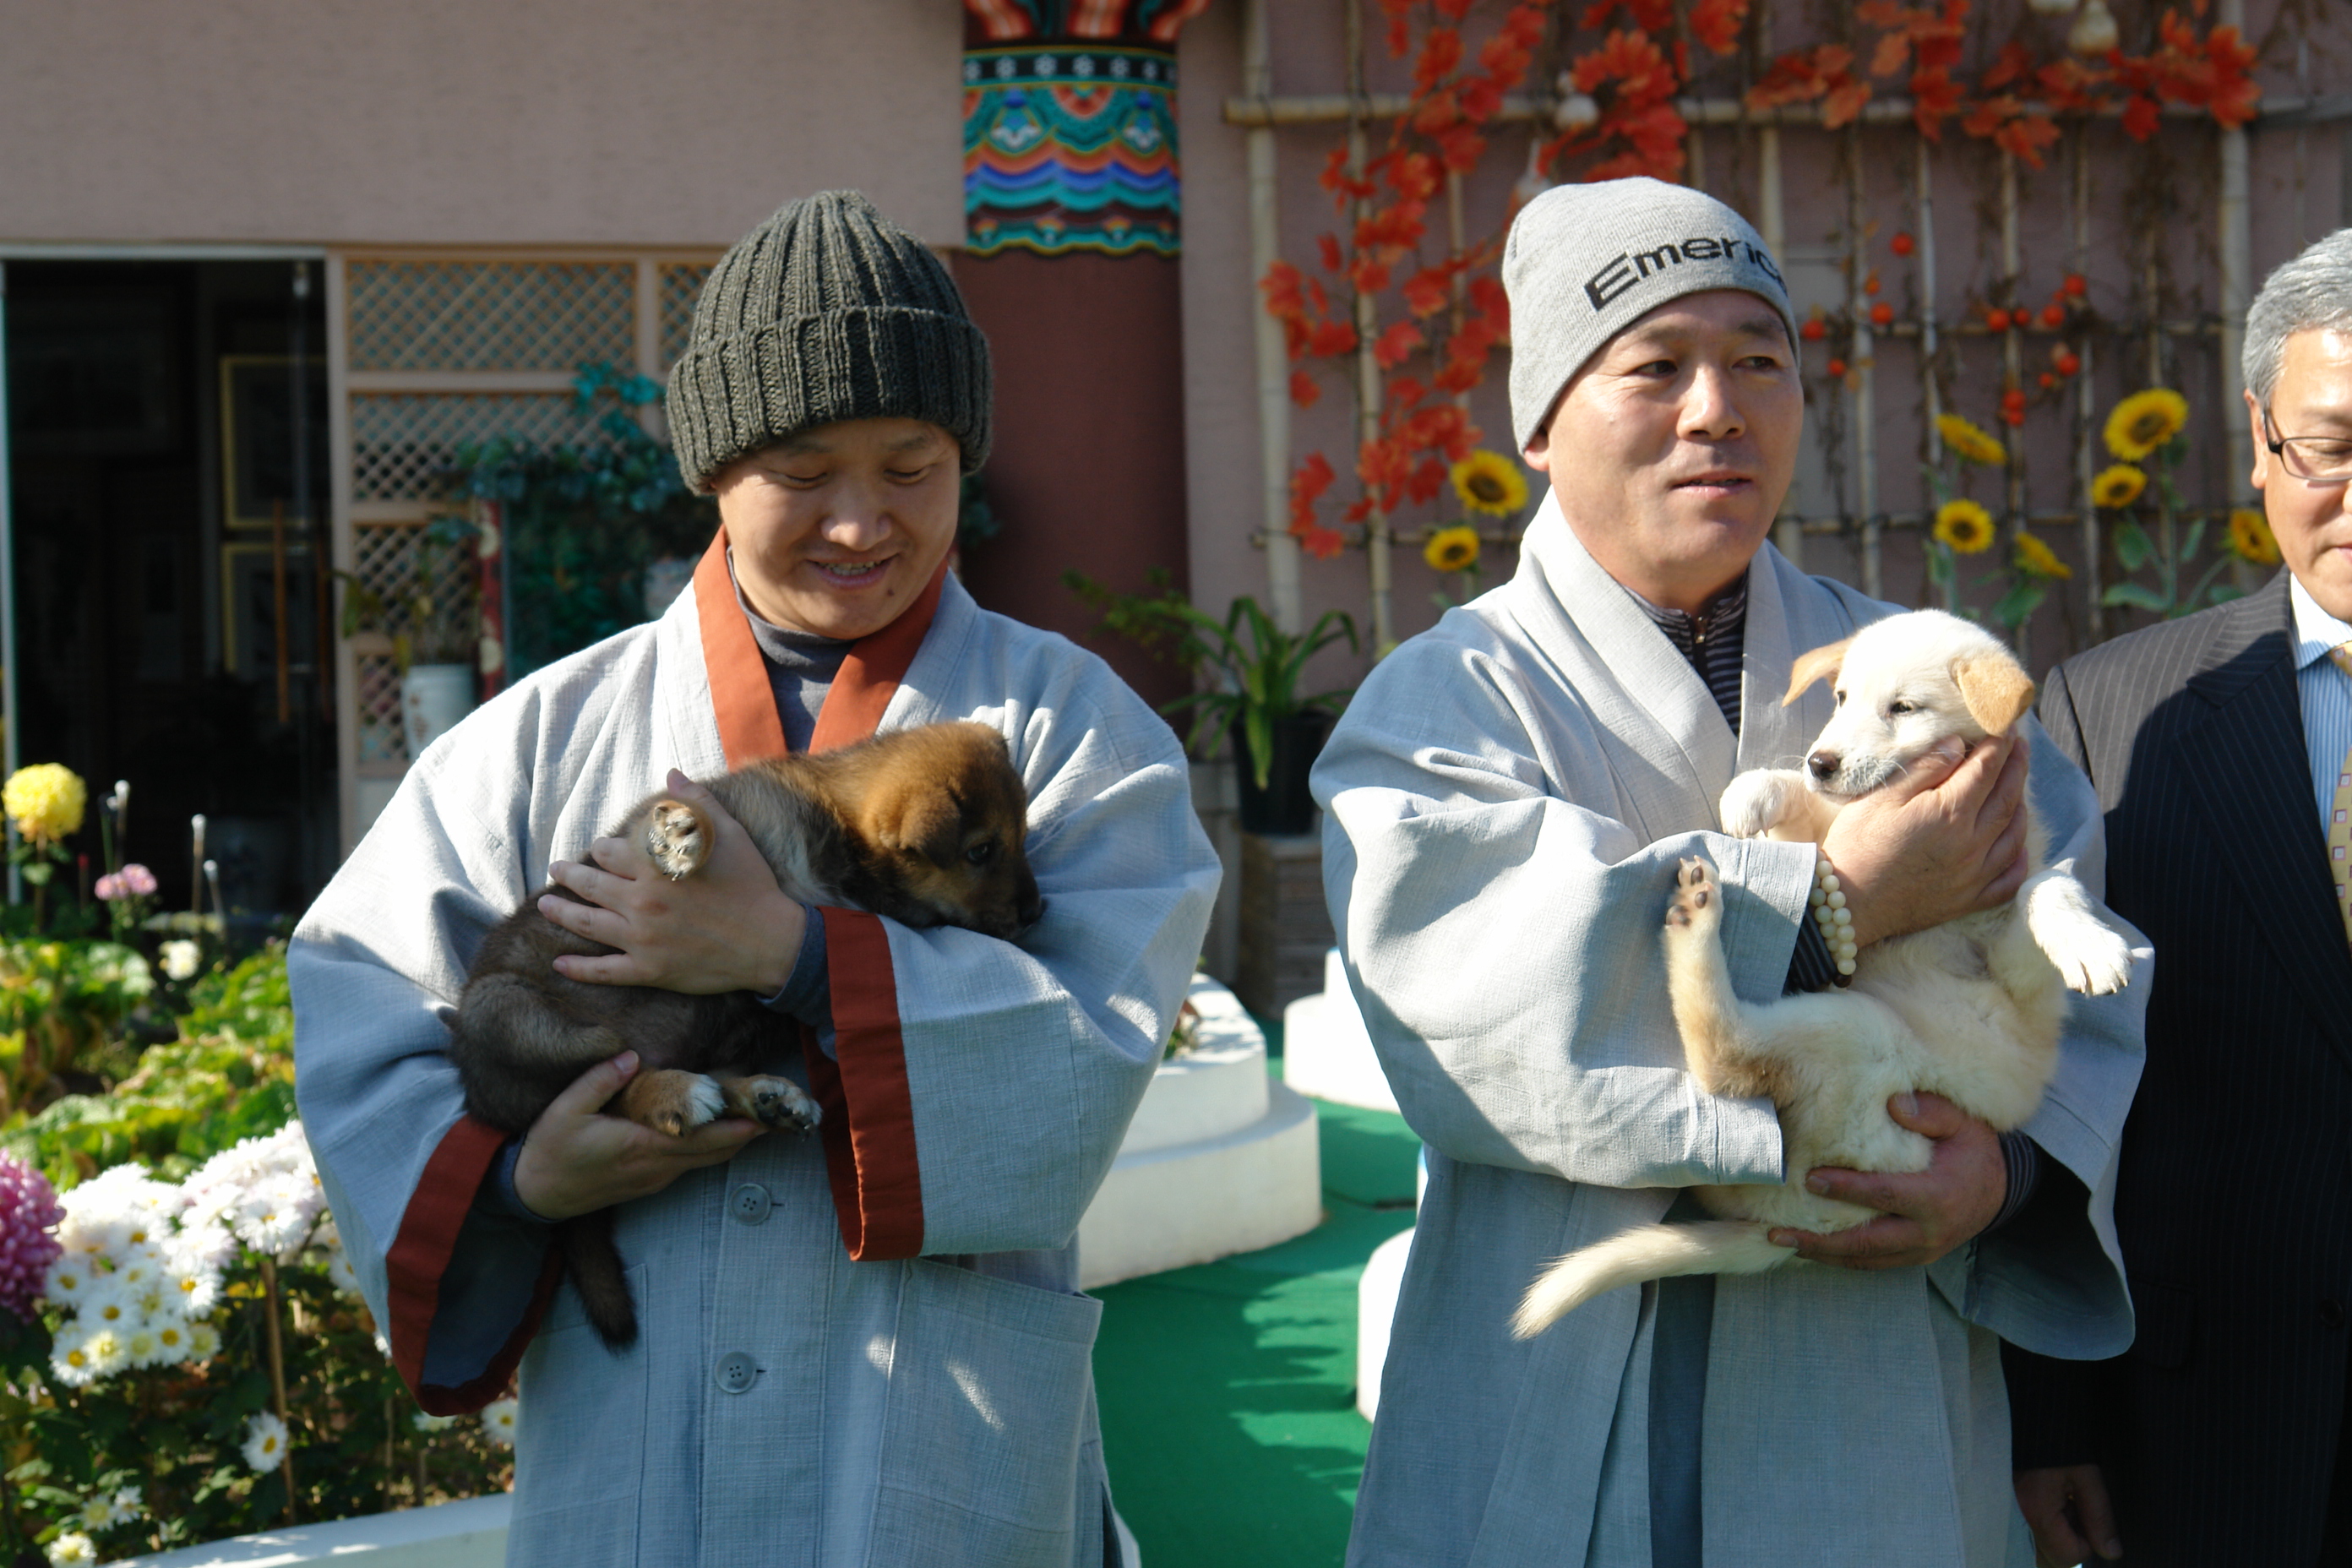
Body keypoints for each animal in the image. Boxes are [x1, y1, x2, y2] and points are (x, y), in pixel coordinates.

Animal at [449, 724, 1039, 1353]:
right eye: (981, 851)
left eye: (1021, 837)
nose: (1038, 911)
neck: (841, 845)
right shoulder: (663, 833)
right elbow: (689, 824)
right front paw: (684, 833)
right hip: (510, 1014)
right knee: (612, 1078)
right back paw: (676, 1092)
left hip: (732, 1032)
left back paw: (766, 1098)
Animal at [1514, 611, 2145, 1335]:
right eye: (1841, 698)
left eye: (1903, 708)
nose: (1822, 761)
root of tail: (1788, 1231)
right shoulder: (1825, 832)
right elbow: (1804, 819)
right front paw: (1751, 794)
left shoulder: (2017, 971)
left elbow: (2047, 885)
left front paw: (2089, 945)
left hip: (1856, 1041)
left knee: (1727, 1059)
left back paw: (1694, 920)